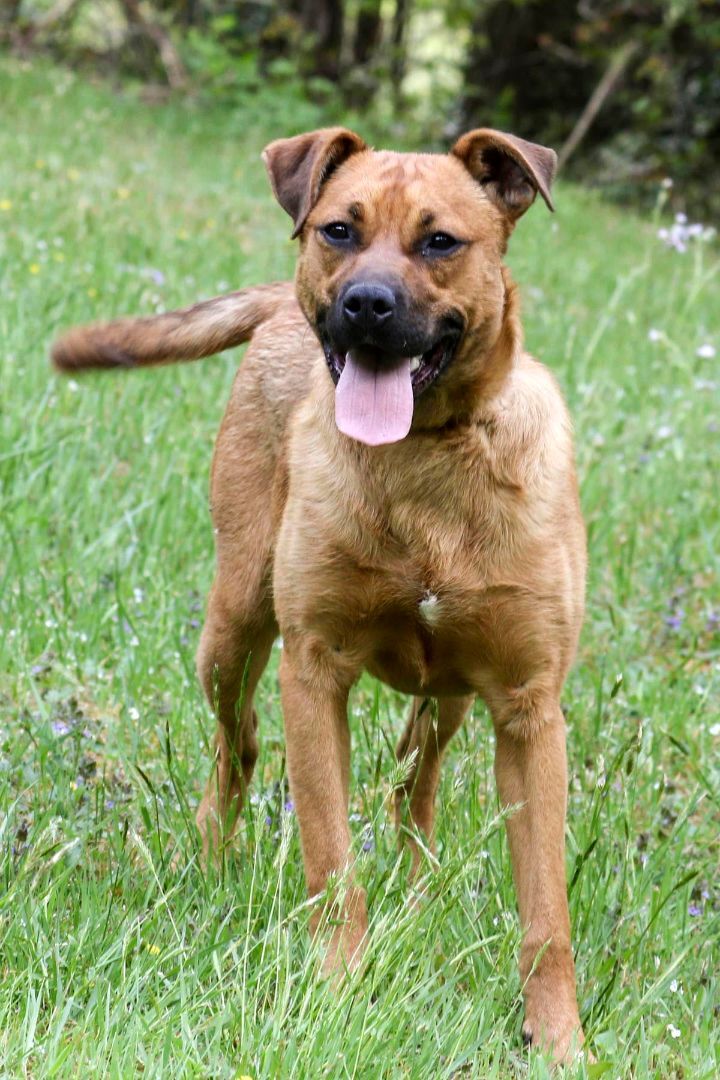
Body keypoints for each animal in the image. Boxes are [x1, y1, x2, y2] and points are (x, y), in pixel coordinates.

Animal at [52, 128, 591, 1062]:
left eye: (440, 241)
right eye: (340, 230)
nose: (365, 306)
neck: (425, 459)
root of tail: (280, 310)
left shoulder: (528, 707)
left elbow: (545, 914)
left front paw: (558, 1040)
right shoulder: (314, 671)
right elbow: (332, 863)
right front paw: (336, 996)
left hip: (452, 695)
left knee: (417, 784)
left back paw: (419, 891)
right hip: (234, 626)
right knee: (238, 746)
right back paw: (211, 861)